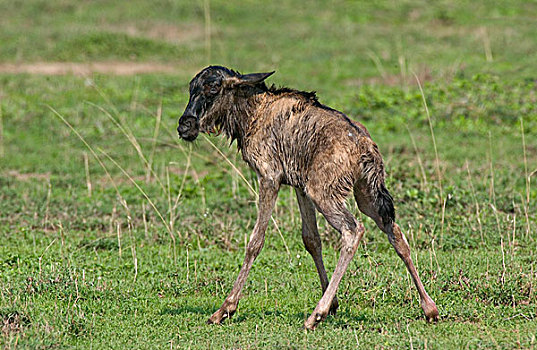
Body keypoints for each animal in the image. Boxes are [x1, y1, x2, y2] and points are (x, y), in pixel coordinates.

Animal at [178, 66, 438, 330]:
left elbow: (255, 242)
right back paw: (430, 308)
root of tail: (364, 145)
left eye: (213, 88)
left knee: (353, 230)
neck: (253, 112)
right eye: (191, 88)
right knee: (394, 232)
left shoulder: (270, 178)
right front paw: (333, 302)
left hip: (323, 193)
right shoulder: (299, 186)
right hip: (365, 195)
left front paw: (225, 309)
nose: (184, 126)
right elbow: (311, 239)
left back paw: (316, 315)